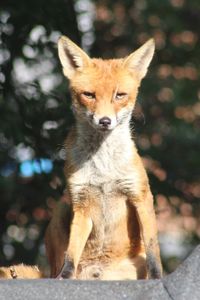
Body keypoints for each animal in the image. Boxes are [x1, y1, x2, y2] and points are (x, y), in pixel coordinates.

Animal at [45, 36, 162, 280]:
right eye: (89, 95)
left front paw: (157, 278)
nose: (105, 121)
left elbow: (153, 248)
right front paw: (65, 277)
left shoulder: (141, 195)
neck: (104, 170)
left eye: (119, 95)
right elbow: (71, 252)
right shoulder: (81, 203)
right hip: (62, 206)